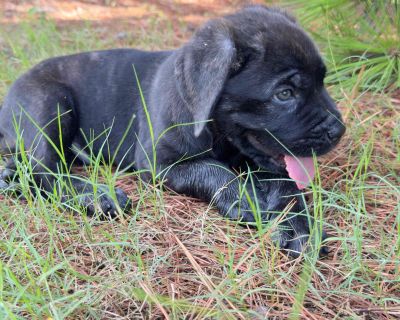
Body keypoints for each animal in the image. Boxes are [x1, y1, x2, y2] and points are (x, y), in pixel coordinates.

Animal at [0, 5, 344, 255]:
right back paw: (96, 196)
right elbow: (213, 170)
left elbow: (287, 186)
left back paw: (10, 177)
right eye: (284, 94)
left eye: (322, 81)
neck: (219, 135)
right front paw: (245, 199)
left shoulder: (266, 161)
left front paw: (300, 227)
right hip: (50, 103)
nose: (338, 130)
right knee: (44, 170)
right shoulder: (161, 163)